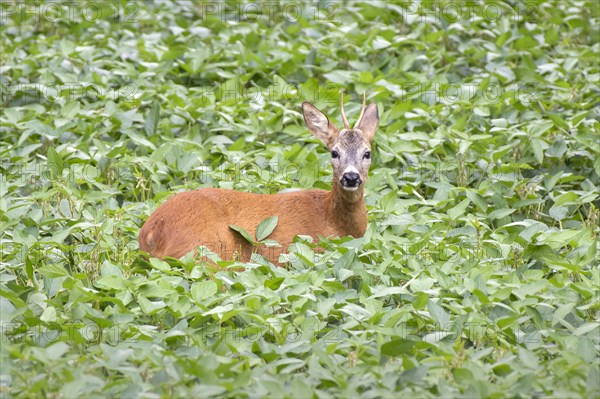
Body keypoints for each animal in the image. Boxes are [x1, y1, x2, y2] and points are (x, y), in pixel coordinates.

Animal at [138, 92, 378, 264]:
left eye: (367, 153)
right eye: (334, 152)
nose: (351, 177)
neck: (334, 221)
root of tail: (150, 233)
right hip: (204, 251)